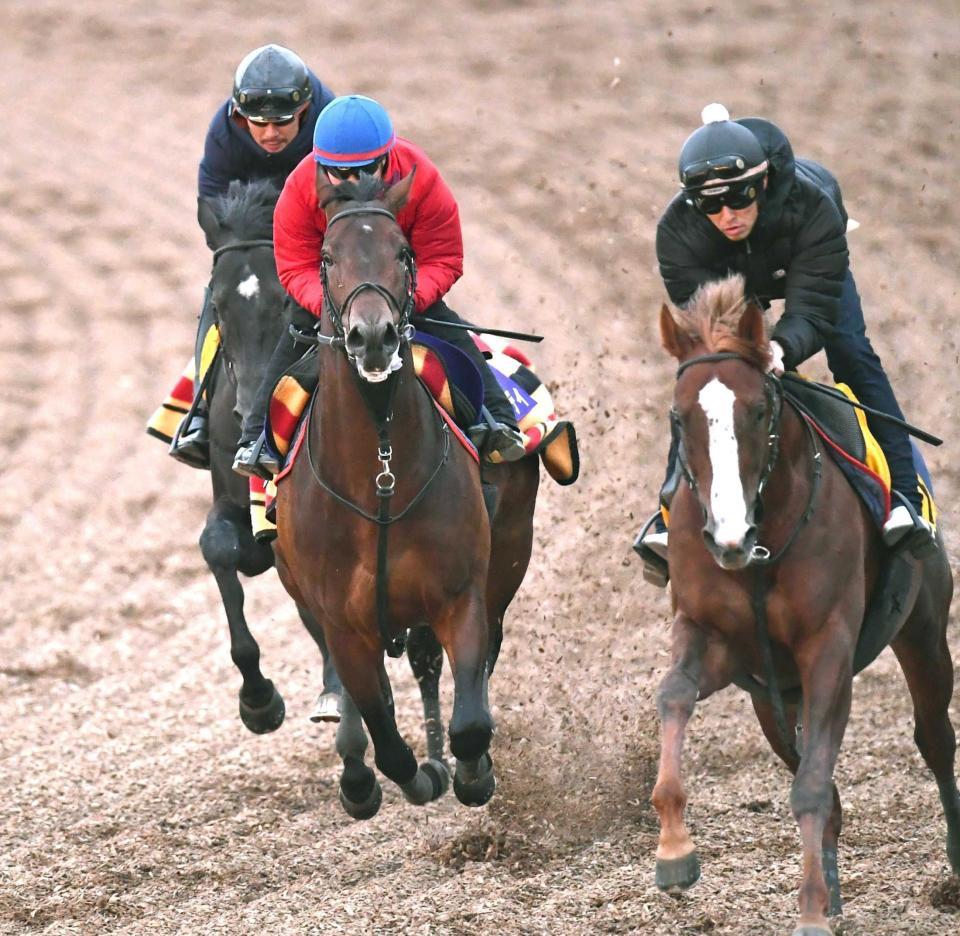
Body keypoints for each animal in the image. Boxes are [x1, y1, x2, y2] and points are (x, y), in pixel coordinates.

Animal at [272, 174, 540, 820]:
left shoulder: (459, 595)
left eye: (403, 251)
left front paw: (470, 772)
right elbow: (386, 737)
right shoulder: (344, 624)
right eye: (326, 257)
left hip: (509, 554)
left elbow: (471, 717)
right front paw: (407, 775)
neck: (380, 479)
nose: (372, 337)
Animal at [648, 276, 956, 936]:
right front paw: (675, 853)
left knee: (934, 738)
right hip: (771, 696)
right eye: (679, 418)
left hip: (922, 629)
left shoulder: (827, 650)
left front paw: (811, 911)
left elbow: (813, 785)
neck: (761, 550)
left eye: (758, 412)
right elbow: (674, 694)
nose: (728, 536)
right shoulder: (715, 638)